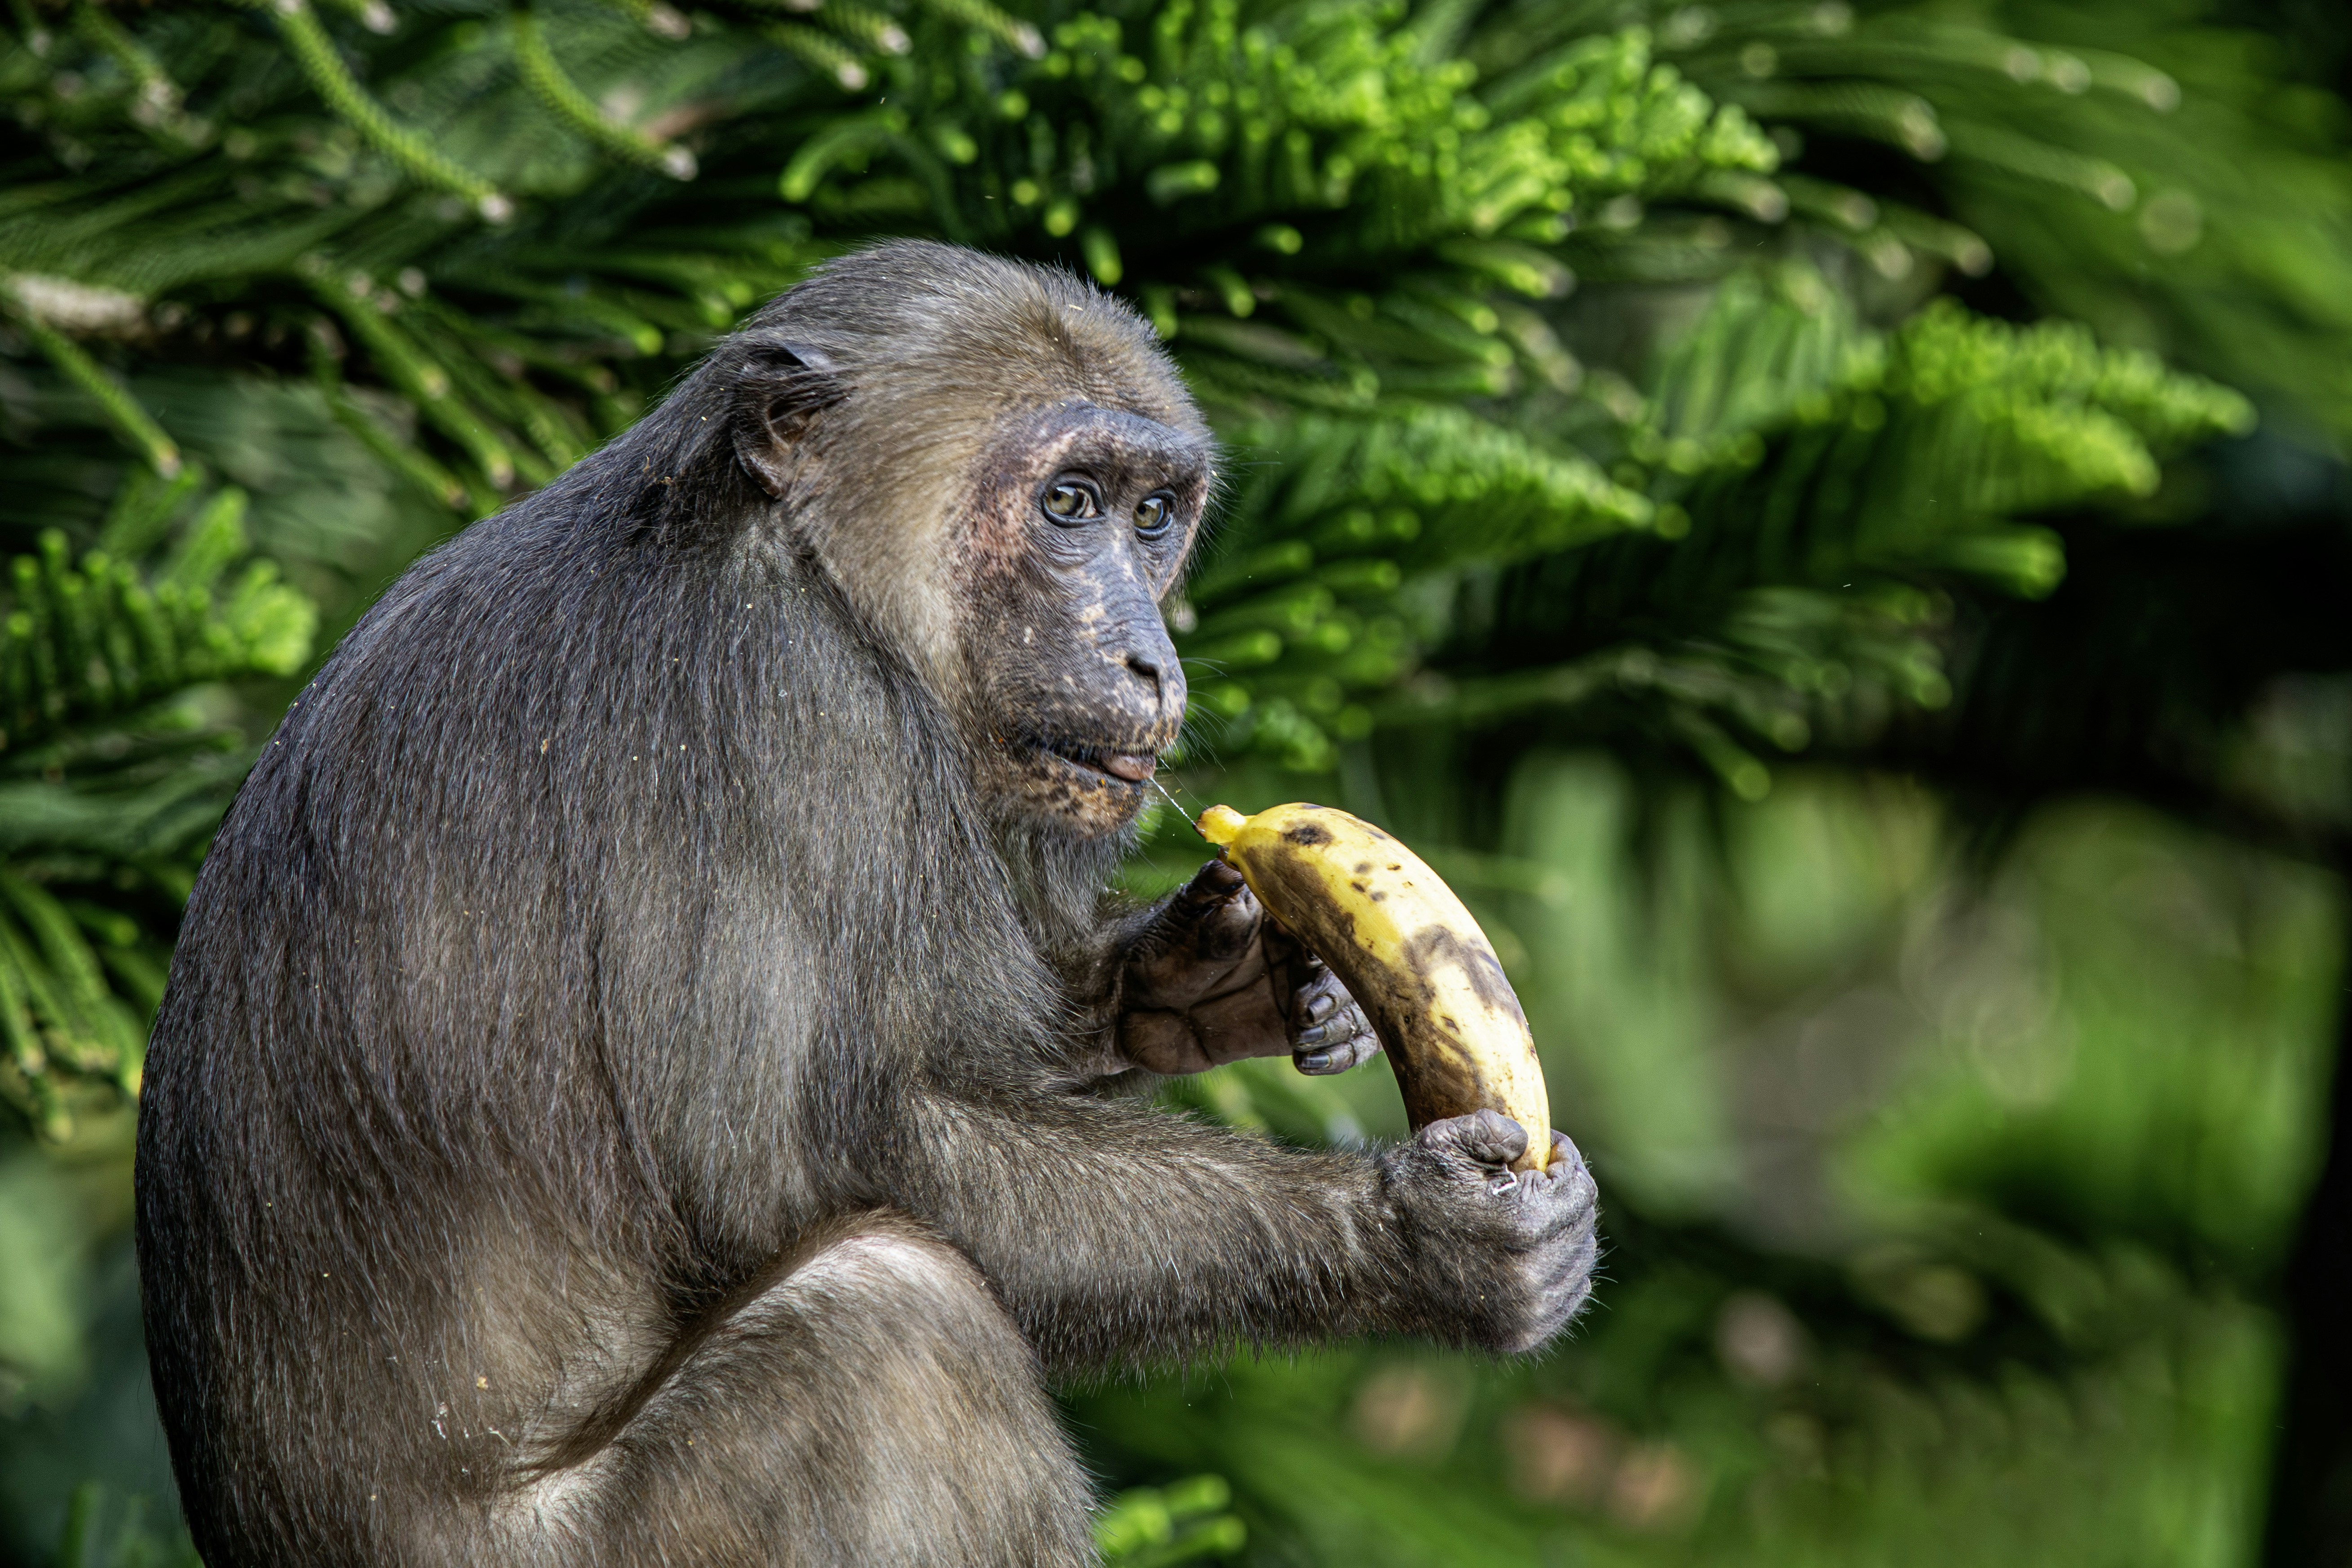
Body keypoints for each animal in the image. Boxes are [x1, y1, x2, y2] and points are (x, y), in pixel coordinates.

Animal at [134, 241, 1600, 1568]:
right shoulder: (792, 706)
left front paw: (1209, 977)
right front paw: (1412, 1232)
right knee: (891, 1331)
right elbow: (796, 1156)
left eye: (1152, 516)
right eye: (1067, 502)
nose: (1150, 652)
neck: (811, 567)